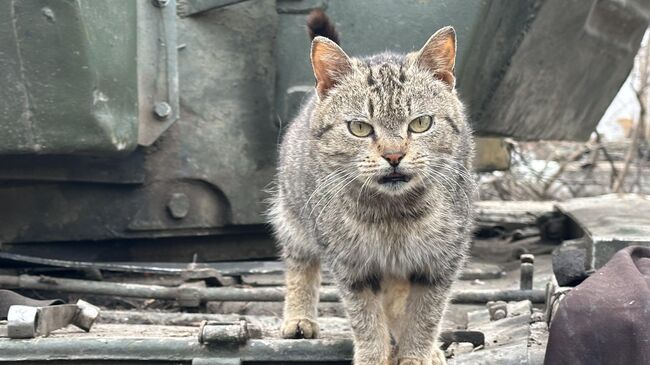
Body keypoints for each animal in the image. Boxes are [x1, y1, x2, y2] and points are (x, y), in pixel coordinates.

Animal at [266, 9, 474, 364]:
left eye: (421, 123)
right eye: (360, 128)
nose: (393, 155)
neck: (394, 215)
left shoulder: (440, 262)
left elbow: (424, 316)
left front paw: (417, 354)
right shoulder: (352, 267)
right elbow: (366, 320)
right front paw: (374, 356)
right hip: (293, 217)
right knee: (300, 265)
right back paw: (299, 318)